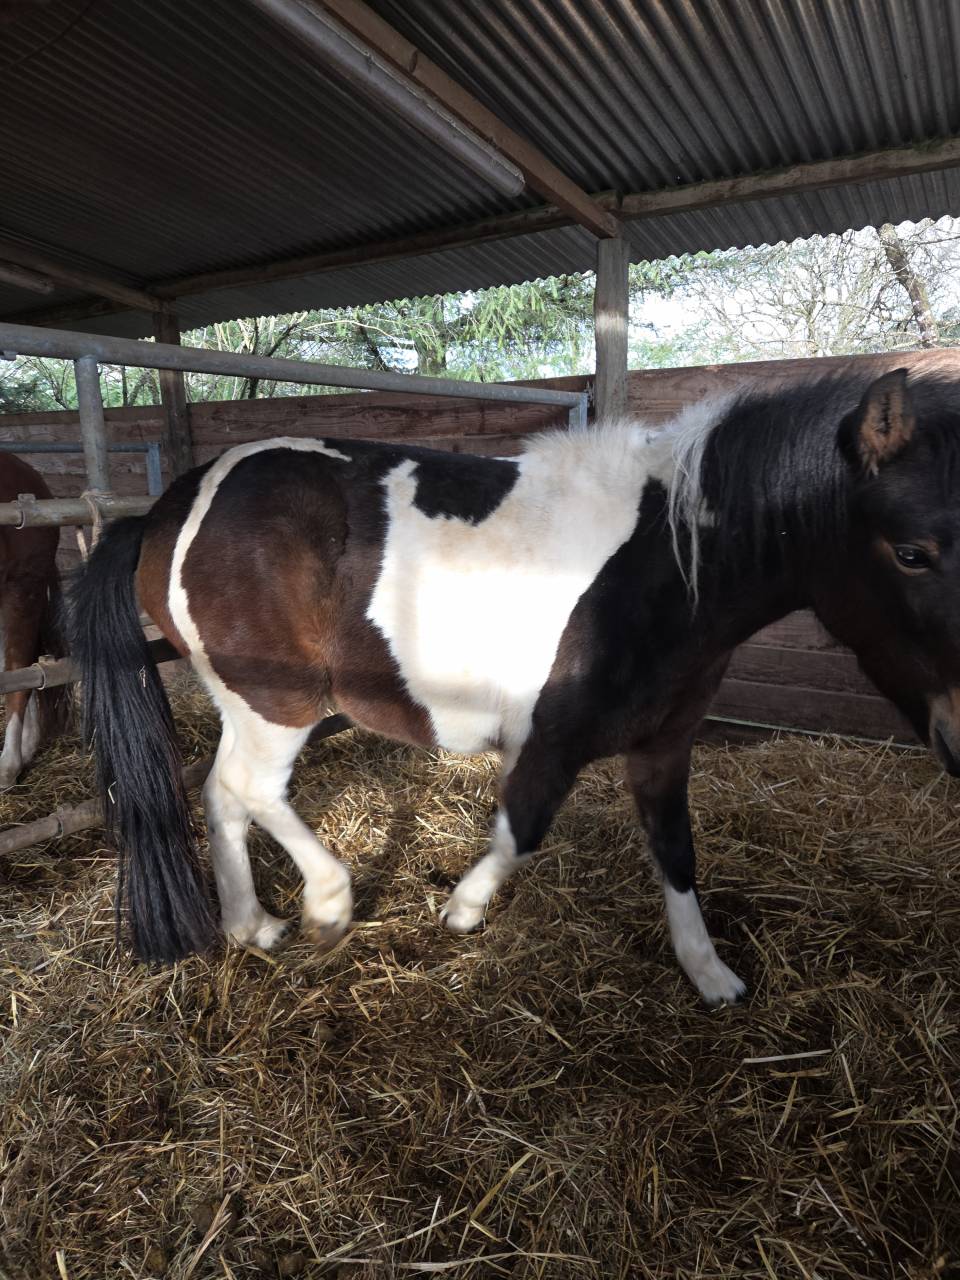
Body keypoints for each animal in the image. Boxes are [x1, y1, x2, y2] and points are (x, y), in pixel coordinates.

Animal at [68, 367, 960, 1003]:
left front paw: (710, 976)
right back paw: (326, 905)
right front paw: (462, 910)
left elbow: (675, 849)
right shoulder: (550, 742)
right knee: (252, 790)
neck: (664, 568)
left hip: (245, 705)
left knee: (222, 794)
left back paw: (253, 926)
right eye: (912, 553)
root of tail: (168, 507)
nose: (958, 740)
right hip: (277, 704)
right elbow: (521, 831)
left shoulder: (663, 746)